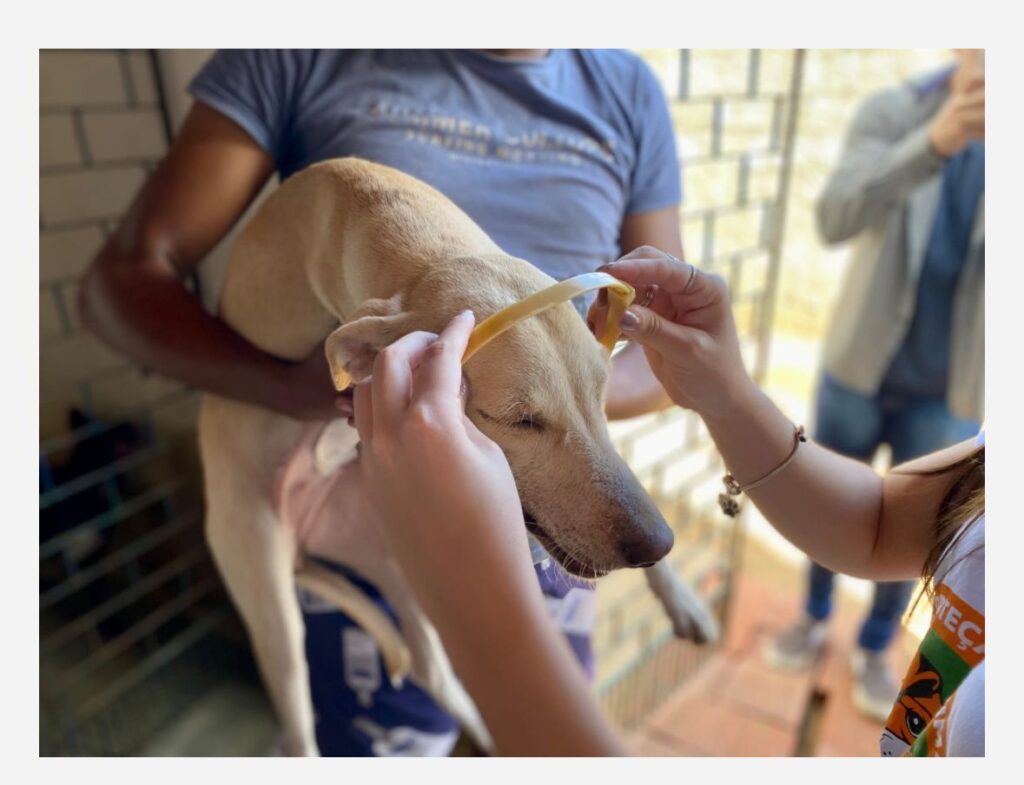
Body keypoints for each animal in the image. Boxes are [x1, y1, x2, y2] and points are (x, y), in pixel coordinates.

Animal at [195, 157, 716, 753]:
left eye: (600, 395)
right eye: (517, 419)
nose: (656, 544)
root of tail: (309, 536)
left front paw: (680, 596)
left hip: (406, 557)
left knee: (433, 669)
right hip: (267, 591)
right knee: (301, 720)